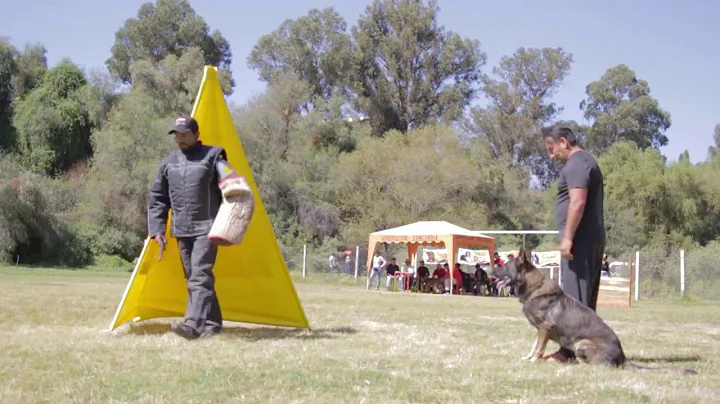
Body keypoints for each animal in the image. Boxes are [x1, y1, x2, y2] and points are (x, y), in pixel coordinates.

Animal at [506, 249, 696, 376]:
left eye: (505, 266)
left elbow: (538, 348)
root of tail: (623, 357)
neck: (534, 288)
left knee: (594, 366)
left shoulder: (545, 328)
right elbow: (534, 346)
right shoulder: (541, 331)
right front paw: (527, 358)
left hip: (581, 343)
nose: (495, 269)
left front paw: (533, 361)